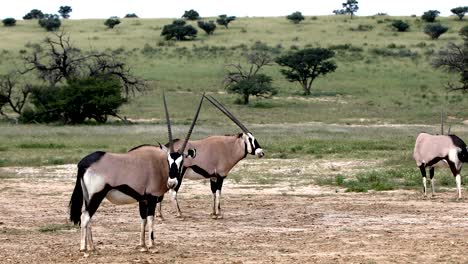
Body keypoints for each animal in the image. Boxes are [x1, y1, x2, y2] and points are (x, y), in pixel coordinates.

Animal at [68, 93, 204, 252]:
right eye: (169, 161)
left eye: (181, 162)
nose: (172, 183)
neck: (158, 164)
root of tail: (84, 163)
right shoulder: (151, 198)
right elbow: (151, 219)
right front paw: (151, 245)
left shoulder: (142, 199)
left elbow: (143, 220)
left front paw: (142, 245)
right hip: (97, 195)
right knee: (85, 216)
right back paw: (84, 248)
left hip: (88, 196)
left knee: (88, 217)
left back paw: (92, 246)